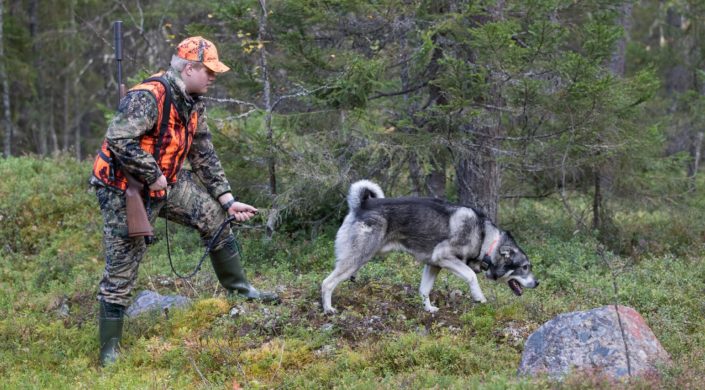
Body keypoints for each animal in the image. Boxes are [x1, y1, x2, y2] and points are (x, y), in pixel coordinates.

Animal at [320, 180, 540, 314]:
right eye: (524, 267)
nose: (537, 283)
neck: (485, 239)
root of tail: (362, 205)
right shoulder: (445, 257)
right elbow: (471, 275)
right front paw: (479, 297)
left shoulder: (433, 264)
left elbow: (424, 290)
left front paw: (428, 309)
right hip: (357, 258)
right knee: (327, 283)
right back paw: (328, 309)